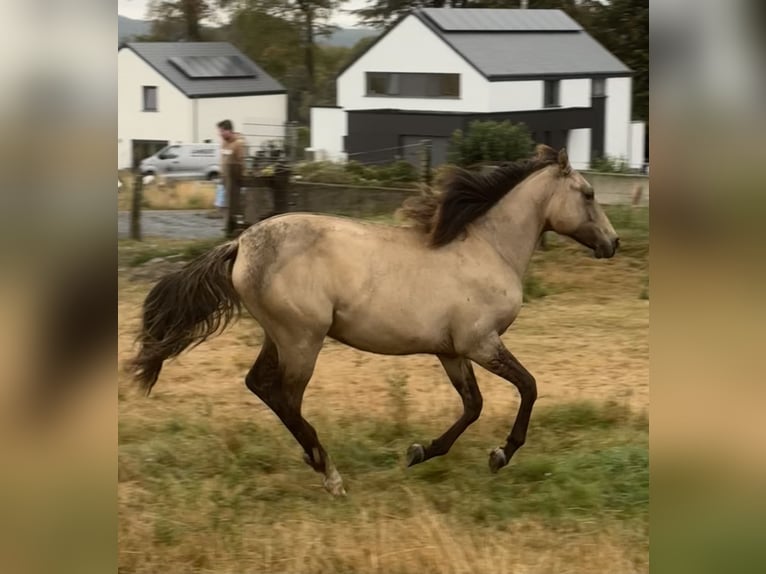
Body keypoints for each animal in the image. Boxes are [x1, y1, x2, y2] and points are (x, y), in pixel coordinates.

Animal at [126, 145, 619, 496]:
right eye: (589, 194)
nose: (612, 243)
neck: (487, 248)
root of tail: (241, 244)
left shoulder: (452, 351)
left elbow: (472, 405)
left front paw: (420, 452)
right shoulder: (481, 343)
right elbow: (528, 387)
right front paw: (501, 454)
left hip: (280, 336)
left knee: (260, 385)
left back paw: (317, 460)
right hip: (302, 340)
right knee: (285, 398)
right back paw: (328, 471)